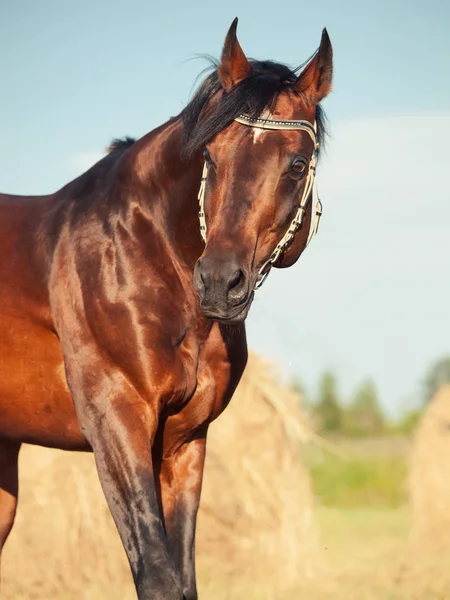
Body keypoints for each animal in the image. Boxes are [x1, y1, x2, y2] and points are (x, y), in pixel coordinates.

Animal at [0, 18, 330, 600]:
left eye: (296, 164)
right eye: (210, 155)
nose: (219, 282)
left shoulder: (184, 441)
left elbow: (183, 577)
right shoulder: (116, 421)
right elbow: (156, 575)